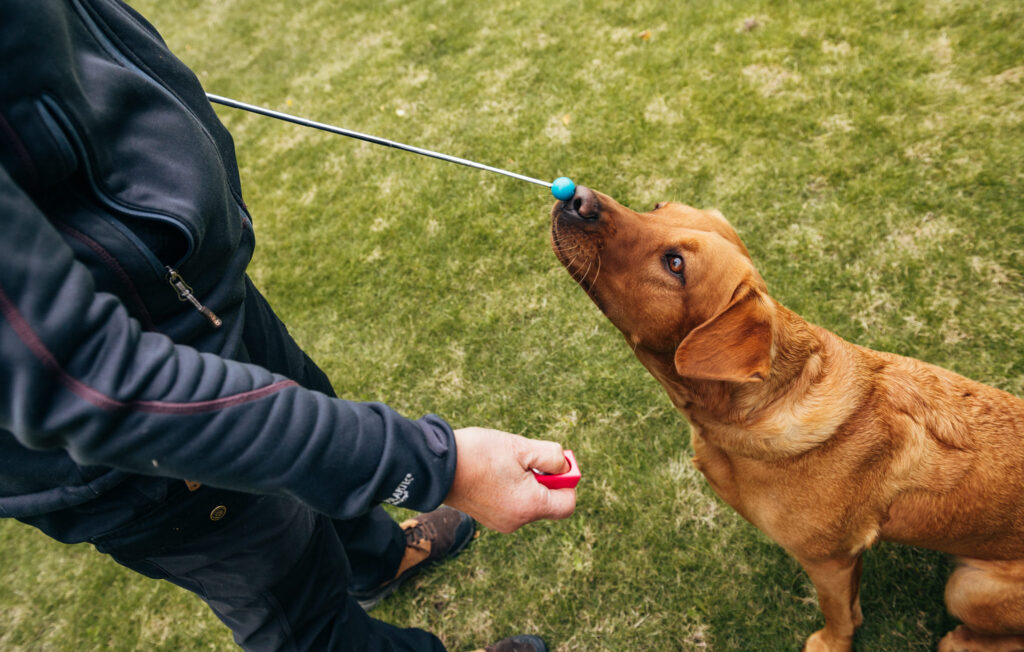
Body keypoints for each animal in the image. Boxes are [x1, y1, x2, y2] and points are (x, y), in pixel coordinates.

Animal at [552, 185, 1024, 646]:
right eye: (655, 207)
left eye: (675, 264)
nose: (577, 198)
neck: (752, 411)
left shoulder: (830, 560)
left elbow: (842, 618)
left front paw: (829, 643)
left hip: (967, 588)